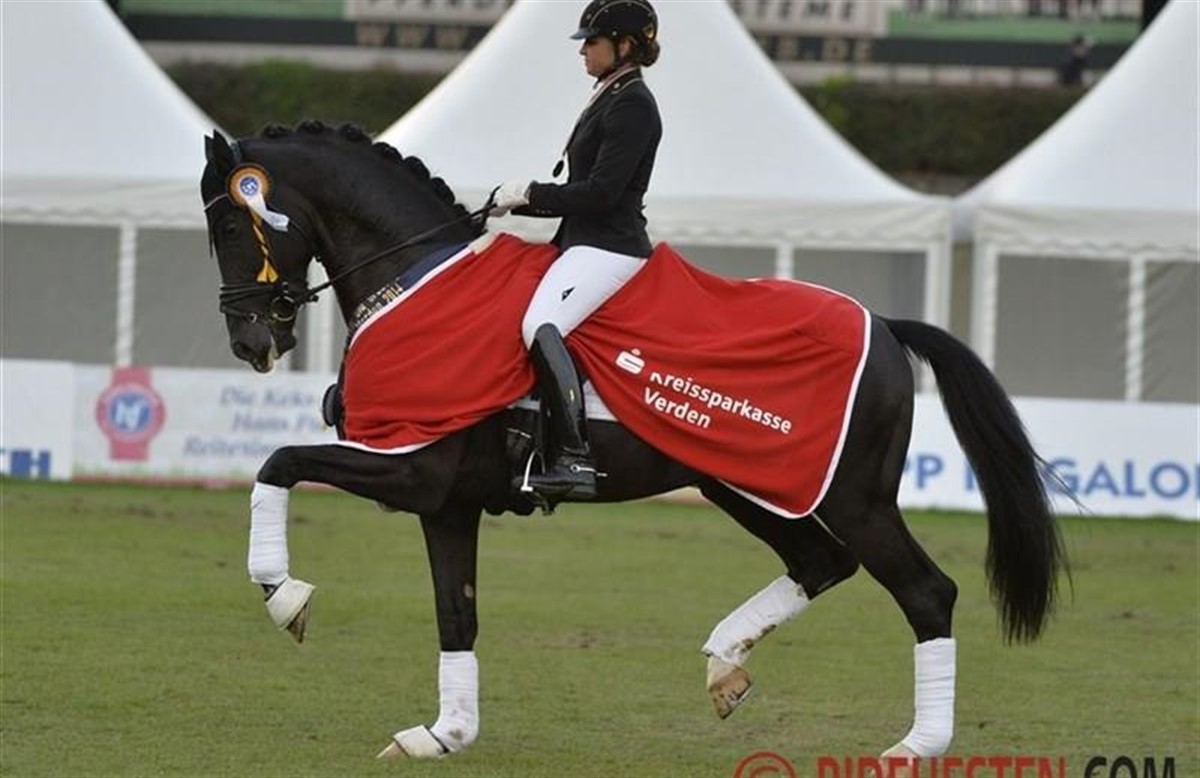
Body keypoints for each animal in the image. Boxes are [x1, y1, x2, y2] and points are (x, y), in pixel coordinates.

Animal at [200, 121, 1066, 764]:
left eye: (229, 220)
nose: (251, 340)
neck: (415, 278)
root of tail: (884, 326)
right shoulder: (446, 504)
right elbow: (457, 614)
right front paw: (444, 734)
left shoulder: (415, 472)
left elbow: (278, 464)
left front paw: (284, 596)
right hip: (746, 483)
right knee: (821, 562)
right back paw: (726, 663)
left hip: (855, 498)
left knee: (926, 592)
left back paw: (914, 746)